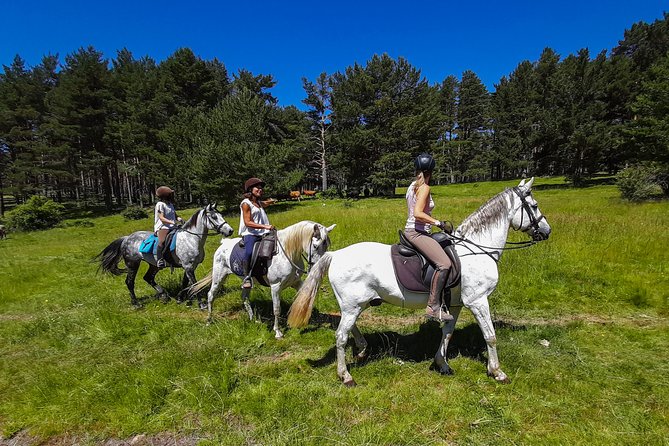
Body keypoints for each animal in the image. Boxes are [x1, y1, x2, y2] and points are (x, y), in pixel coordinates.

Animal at [95, 204, 234, 308]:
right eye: (214, 217)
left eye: (221, 215)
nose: (230, 231)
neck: (191, 238)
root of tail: (126, 238)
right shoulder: (188, 266)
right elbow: (194, 284)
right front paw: (201, 304)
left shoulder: (190, 266)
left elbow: (185, 283)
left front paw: (180, 298)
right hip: (132, 264)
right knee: (129, 282)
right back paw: (136, 303)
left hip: (154, 265)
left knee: (148, 278)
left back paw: (163, 295)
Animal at [187, 220, 334, 338]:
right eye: (315, 246)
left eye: (326, 245)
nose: (319, 268)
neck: (286, 253)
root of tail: (224, 243)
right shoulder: (275, 287)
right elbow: (276, 308)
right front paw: (277, 332)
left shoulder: (296, 282)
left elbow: (307, 299)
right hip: (219, 276)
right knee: (211, 295)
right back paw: (209, 320)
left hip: (246, 282)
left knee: (244, 297)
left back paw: (253, 319)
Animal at [290, 179, 552, 386]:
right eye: (535, 206)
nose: (547, 231)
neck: (477, 249)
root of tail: (335, 255)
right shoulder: (478, 301)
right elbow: (490, 336)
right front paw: (497, 372)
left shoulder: (455, 304)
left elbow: (447, 333)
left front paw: (442, 364)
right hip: (353, 305)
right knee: (341, 336)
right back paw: (346, 376)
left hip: (354, 305)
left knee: (349, 328)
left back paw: (363, 349)